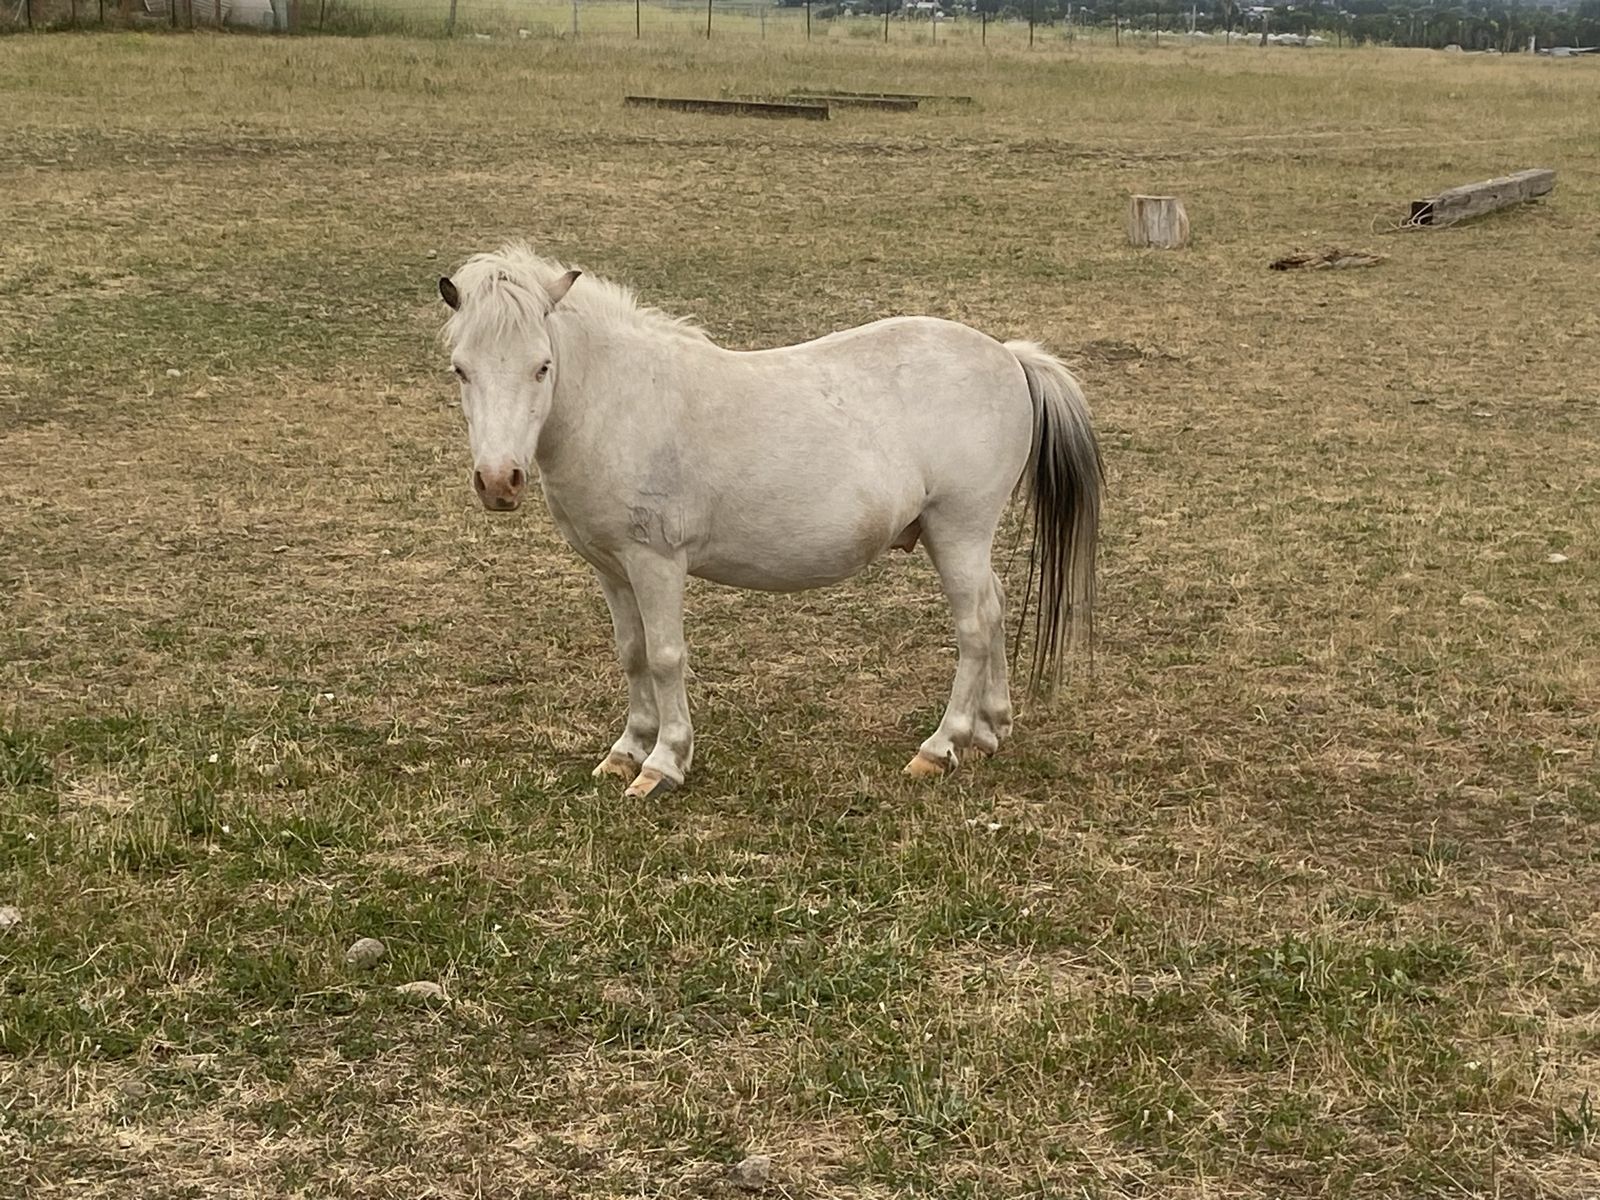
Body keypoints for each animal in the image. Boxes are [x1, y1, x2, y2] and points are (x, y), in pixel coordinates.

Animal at [437, 243, 1103, 798]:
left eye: (542, 366)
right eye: (461, 369)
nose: (498, 481)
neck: (621, 403)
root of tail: (1008, 356)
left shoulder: (656, 563)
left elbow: (665, 655)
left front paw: (663, 764)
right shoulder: (611, 567)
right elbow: (631, 653)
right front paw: (626, 752)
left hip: (958, 530)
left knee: (975, 625)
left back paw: (941, 747)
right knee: (994, 610)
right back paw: (989, 730)